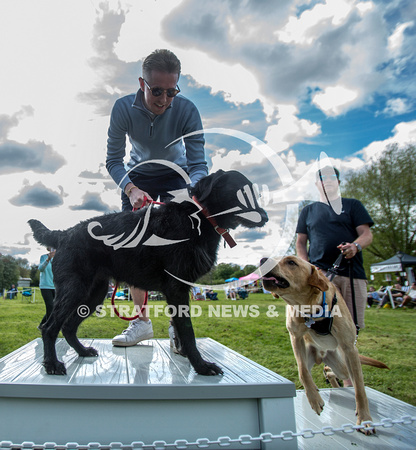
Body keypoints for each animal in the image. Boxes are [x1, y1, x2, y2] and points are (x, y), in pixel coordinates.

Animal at [30, 171, 270, 374]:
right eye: (242, 193)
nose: (266, 217)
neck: (199, 216)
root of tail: (64, 234)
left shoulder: (178, 292)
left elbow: (180, 329)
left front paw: (186, 356)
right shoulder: (177, 290)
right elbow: (189, 332)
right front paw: (201, 366)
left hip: (93, 295)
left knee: (68, 327)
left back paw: (82, 351)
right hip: (75, 291)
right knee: (49, 328)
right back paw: (52, 364)